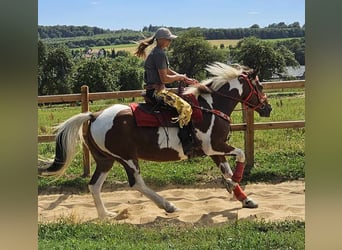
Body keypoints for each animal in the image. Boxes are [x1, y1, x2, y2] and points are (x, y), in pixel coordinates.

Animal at [38, 62, 272, 219]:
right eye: (260, 86)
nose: (267, 108)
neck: (210, 106)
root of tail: (94, 116)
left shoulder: (215, 151)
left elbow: (227, 170)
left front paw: (245, 198)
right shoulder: (213, 146)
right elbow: (240, 154)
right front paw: (236, 181)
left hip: (106, 160)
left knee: (94, 185)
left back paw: (106, 215)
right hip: (127, 158)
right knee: (136, 183)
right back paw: (167, 206)